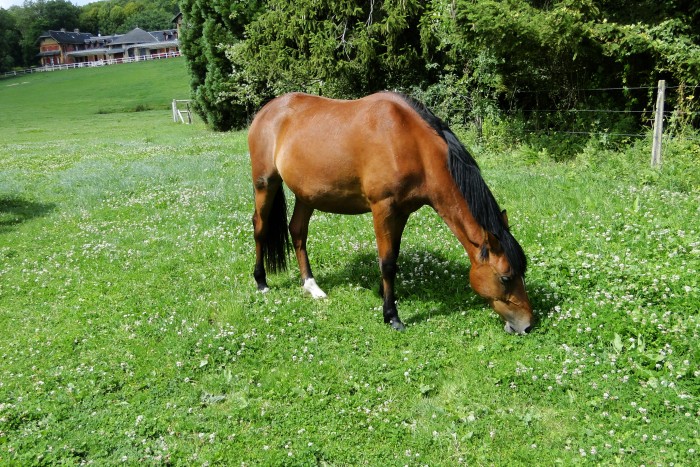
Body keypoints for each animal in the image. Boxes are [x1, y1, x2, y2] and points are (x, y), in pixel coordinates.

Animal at [248, 91, 534, 334]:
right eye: (506, 277)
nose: (527, 325)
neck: (410, 142)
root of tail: (267, 110)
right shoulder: (383, 208)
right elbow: (386, 262)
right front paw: (391, 315)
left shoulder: (402, 211)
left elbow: (393, 257)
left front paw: (385, 293)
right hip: (265, 184)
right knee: (260, 227)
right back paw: (261, 283)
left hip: (306, 194)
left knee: (297, 231)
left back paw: (311, 286)